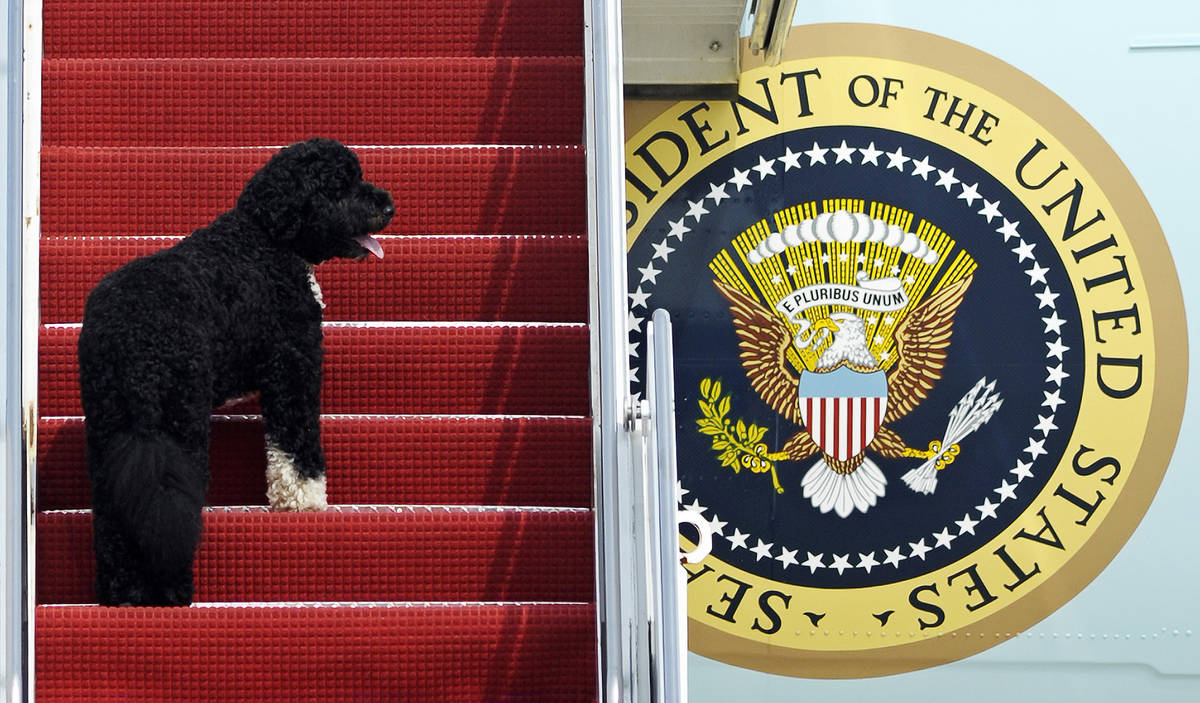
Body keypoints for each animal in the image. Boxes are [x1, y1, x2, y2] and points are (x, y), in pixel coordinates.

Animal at [78, 136, 393, 602]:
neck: (266, 238)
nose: (388, 205)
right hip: (180, 419)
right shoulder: (293, 365)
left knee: (116, 517)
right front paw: (305, 500)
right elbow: (296, 447)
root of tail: (135, 344)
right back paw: (172, 592)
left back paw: (123, 594)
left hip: (109, 424)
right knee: (172, 509)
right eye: (341, 185)